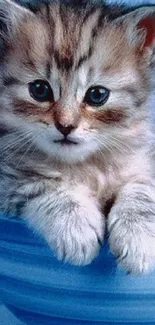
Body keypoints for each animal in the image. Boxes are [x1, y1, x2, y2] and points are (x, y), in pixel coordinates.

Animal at [0, 0, 155, 274]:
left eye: (97, 95)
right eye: (39, 90)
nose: (66, 126)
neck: (86, 165)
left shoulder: (142, 161)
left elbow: (141, 190)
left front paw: (138, 237)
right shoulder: (9, 176)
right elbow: (45, 186)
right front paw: (75, 228)